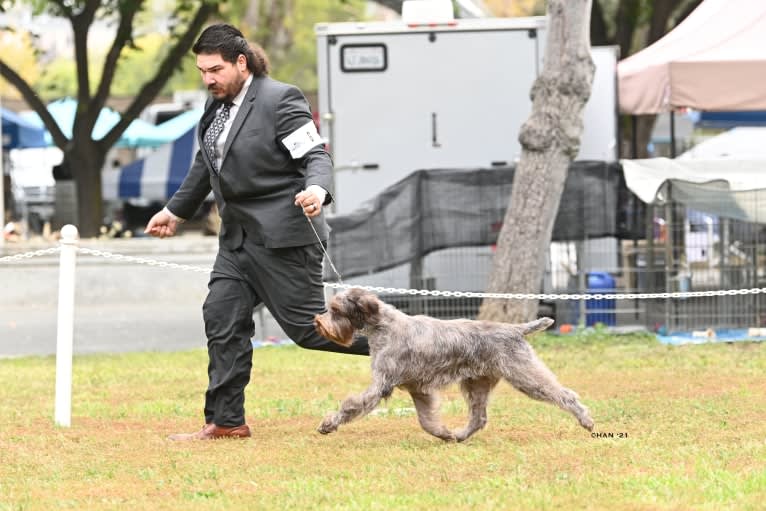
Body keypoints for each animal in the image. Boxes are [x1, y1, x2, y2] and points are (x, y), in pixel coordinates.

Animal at [316, 290, 596, 442]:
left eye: (336, 309)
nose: (318, 321)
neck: (383, 326)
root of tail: (515, 329)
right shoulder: (418, 389)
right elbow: (426, 420)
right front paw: (444, 434)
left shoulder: (381, 385)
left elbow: (352, 405)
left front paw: (329, 424)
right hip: (476, 385)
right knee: (479, 418)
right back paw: (460, 436)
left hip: (526, 376)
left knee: (565, 394)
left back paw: (586, 420)